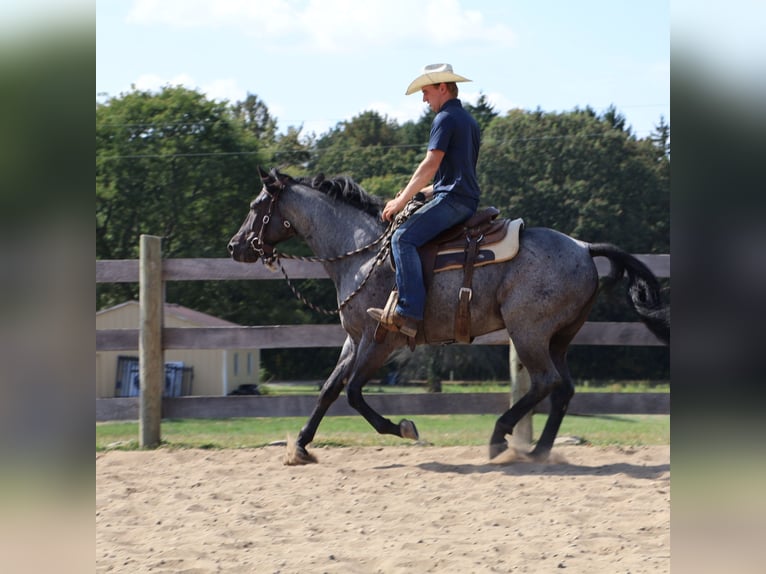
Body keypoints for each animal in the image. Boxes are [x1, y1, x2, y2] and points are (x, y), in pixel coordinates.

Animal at [228, 168, 669, 464]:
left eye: (255, 206)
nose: (235, 246)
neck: (364, 252)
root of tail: (583, 247)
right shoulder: (354, 338)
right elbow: (328, 390)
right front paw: (301, 447)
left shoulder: (379, 338)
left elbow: (352, 393)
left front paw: (404, 428)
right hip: (558, 337)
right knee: (563, 389)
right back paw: (539, 451)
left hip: (528, 332)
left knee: (546, 382)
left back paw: (500, 438)